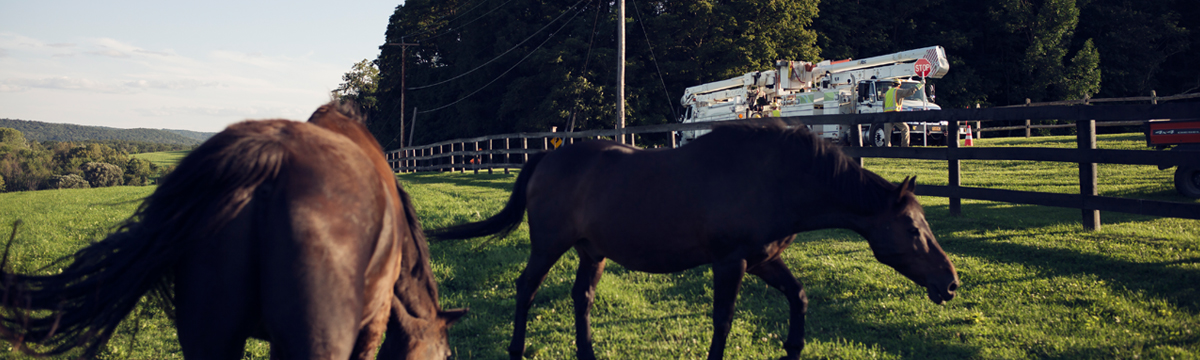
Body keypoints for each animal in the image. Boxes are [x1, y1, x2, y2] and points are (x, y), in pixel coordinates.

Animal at [436, 121, 960, 360]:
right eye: (913, 230)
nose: (950, 282)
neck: (775, 178)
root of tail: (547, 156)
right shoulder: (729, 262)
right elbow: (723, 321)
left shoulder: (763, 260)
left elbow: (799, 296)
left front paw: (793, 347)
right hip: (548, 245)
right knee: (526, 289)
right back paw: (515, 348)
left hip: (593, 252)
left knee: (580, 297)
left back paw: (587, 353)